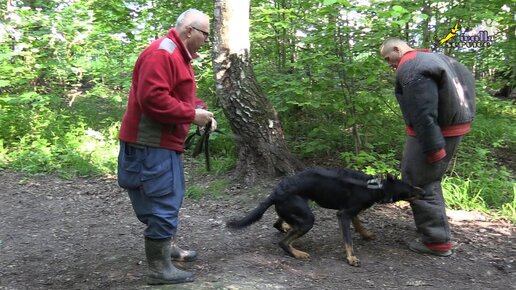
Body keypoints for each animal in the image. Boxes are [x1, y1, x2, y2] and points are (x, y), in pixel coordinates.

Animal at [228, 167, 426, 266]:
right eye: (410, 191)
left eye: (412, 186)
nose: (424, 192)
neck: (374, 187)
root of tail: (276, 193)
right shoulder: (344, 214)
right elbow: (348, 240)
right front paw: (351, 258)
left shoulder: (349, 211)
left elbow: (359, 224)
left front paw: (366, 234)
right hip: (308, 219)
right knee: (283, 243)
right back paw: (298, 253)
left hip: (296, 211)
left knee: (279, 224)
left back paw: (287, 229)